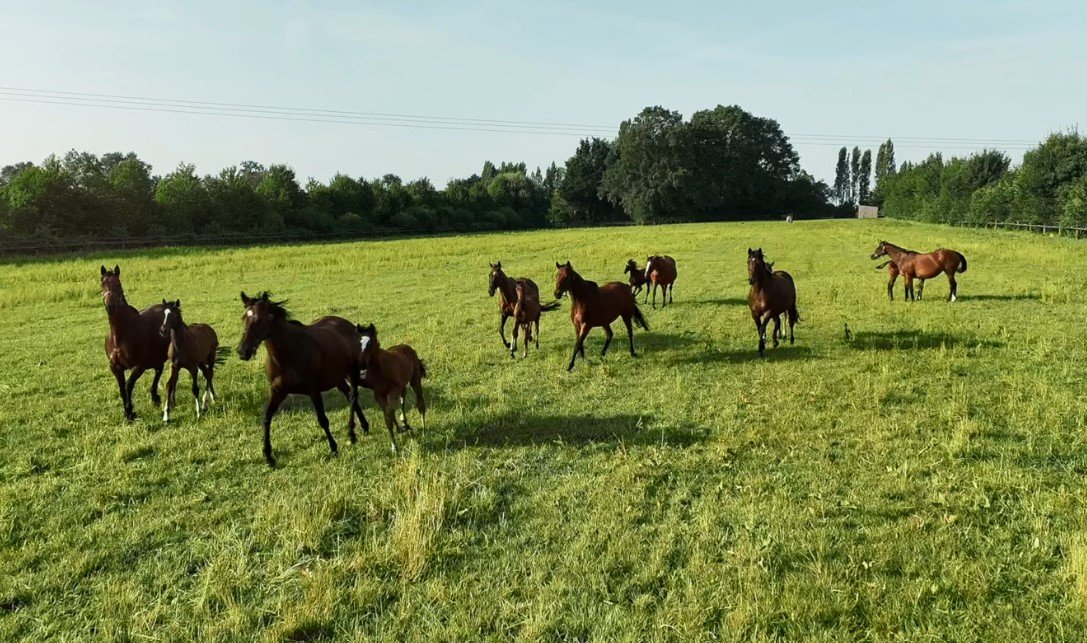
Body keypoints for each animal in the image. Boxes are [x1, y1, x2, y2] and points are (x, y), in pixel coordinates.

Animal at [100, 265, 169, 421]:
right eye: (102, 284)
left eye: (118, 284)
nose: (111, 306)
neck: (119, 337)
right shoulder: (115, 367)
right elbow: (121, 388)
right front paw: (127, 412)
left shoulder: (138, 366)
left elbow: (128, 386)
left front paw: (130, 412)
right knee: (159, 369)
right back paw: (154, 396)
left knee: (159, 370)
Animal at [237, 292, 369, 467]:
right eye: (245, 317)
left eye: (261, 319)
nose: (243, 351)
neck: (288, 356)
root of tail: (347, 324)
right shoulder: (277, 392)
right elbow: (266, 418)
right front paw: (268, 456)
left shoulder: (313, 390)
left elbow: (322, 419)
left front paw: (334, 448)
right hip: (337, 378)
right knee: (348, 395)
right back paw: (363, 427)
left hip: (351, 372)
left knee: (353, 396)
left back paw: (354, 432)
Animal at [355, 323, 427, 453]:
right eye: (358, 342)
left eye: (370, 343)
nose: (361, 364)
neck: (381, 370)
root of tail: (406, 346)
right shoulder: (379, 395)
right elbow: (387, 415)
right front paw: (394, 443)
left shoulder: (393, 391)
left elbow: (389, 413)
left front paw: (395, 445)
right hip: (403, 385)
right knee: (403, 399)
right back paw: (404, 422)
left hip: (414, 380)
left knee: (420, 403)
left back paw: (423, 432)